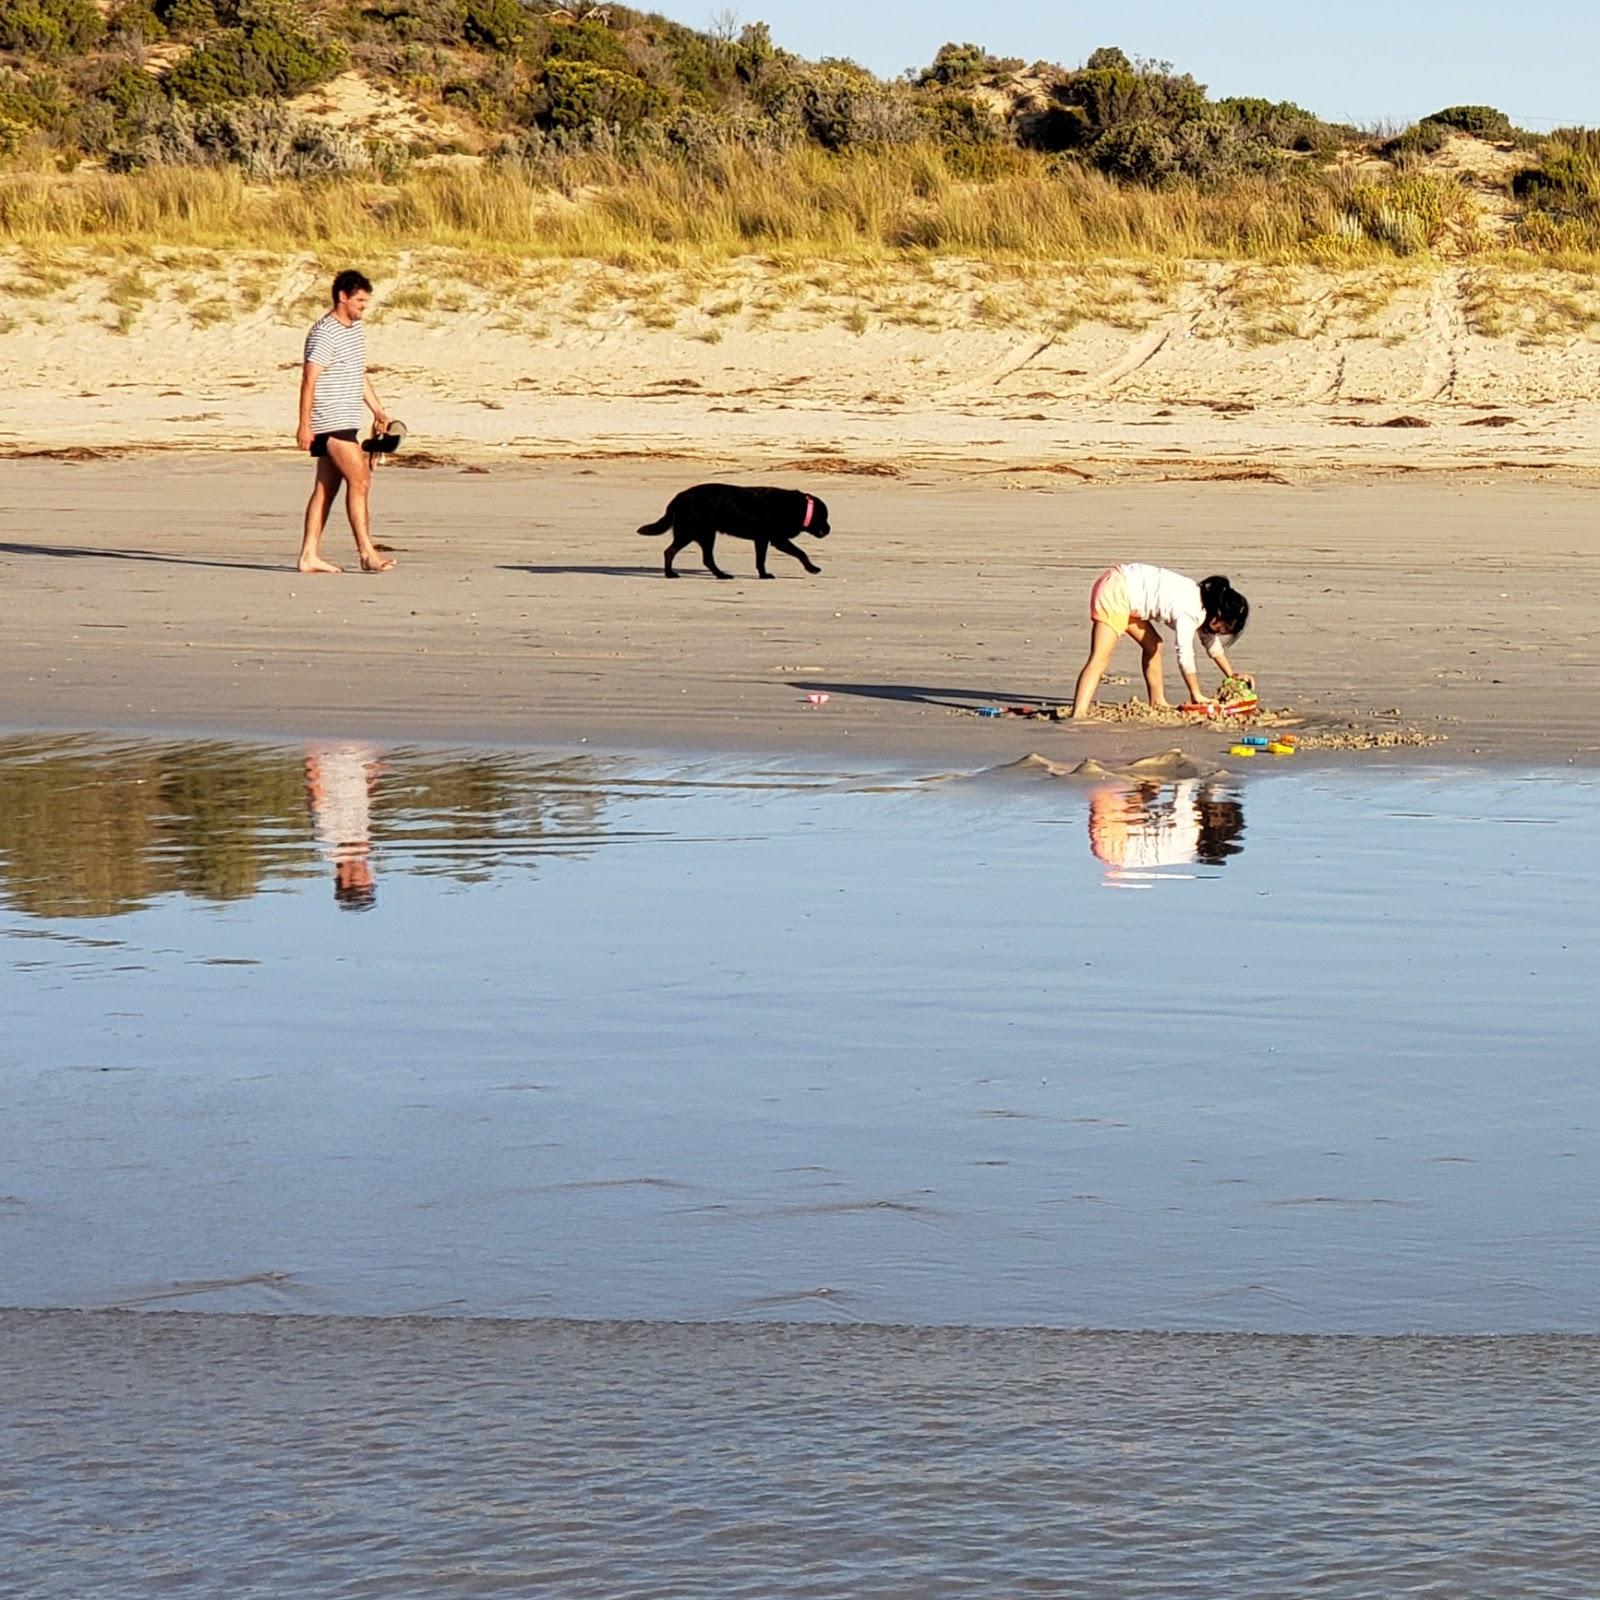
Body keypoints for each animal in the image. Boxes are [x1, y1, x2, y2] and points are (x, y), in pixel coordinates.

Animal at [636, 483, 838, 579]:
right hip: (695, 532)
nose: (829, 529)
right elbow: (801, 552)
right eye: (824, 517)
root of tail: (678, 497)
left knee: (702, 558)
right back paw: (673, 574)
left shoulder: (762, 539)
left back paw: (720, 575)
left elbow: (760, 560)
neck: (799, 508)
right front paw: (813, 568)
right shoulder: (777, 539)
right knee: (673, 552)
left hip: (701, 533)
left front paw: (763, 575)